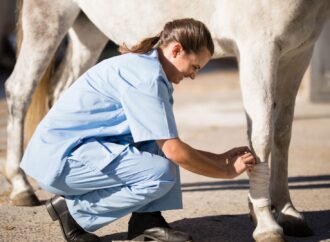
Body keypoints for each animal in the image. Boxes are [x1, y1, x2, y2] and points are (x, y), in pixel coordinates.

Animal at [3, 0, 330, 242]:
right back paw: (21, 187)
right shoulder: (258, 49)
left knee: (64, 92)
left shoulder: (298, 53)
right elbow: (261, 135)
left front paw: (287, 212)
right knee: (19, 90)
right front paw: (266, 223)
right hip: (47, 19)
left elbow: (282, 133)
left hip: (88, 32)